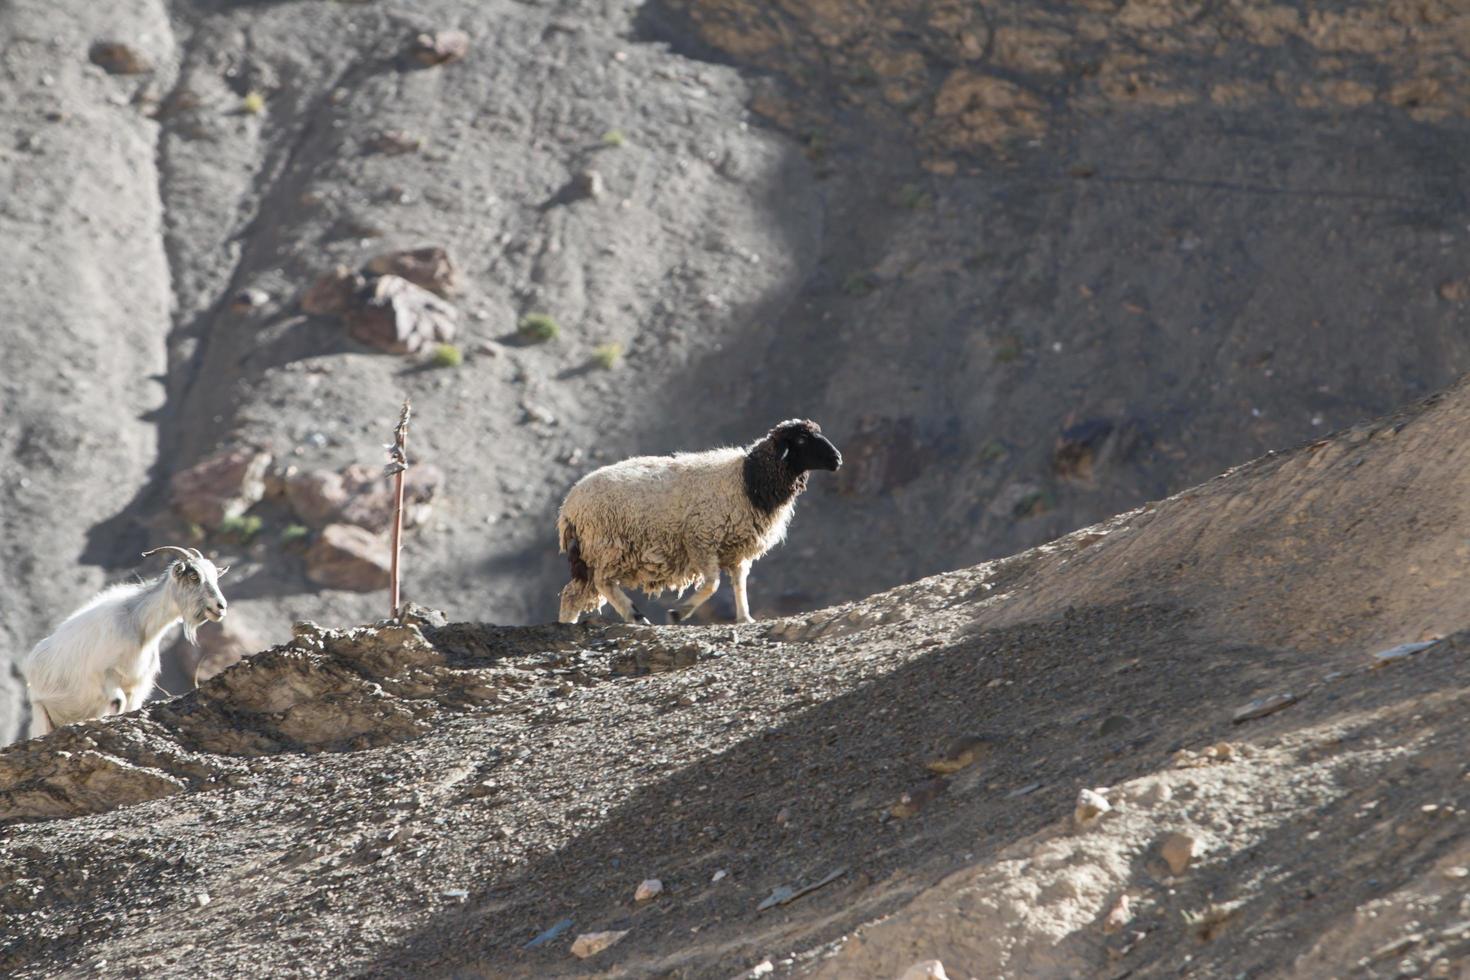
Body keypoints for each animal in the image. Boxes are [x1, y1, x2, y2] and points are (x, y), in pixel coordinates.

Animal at [20, 543, 229, 734]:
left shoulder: (137, 686)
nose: (221, 607)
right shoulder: (106, 675)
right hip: (41, 711)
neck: (139, 626)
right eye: (194, 576)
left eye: (215, 578)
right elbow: (117, 702)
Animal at [555, 417, 846, 625]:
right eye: (801, 440)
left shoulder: (736, 548)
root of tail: (568, 506)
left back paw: (568, 623)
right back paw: (635, 615)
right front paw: (678, 613)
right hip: (606, 546)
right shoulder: (700, 539)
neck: (749, 480)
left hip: (592, 553)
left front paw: (745, 617)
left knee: (573, 594)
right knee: (602, 583)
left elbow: (739, 583)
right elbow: (713, 584)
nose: (837, 459)